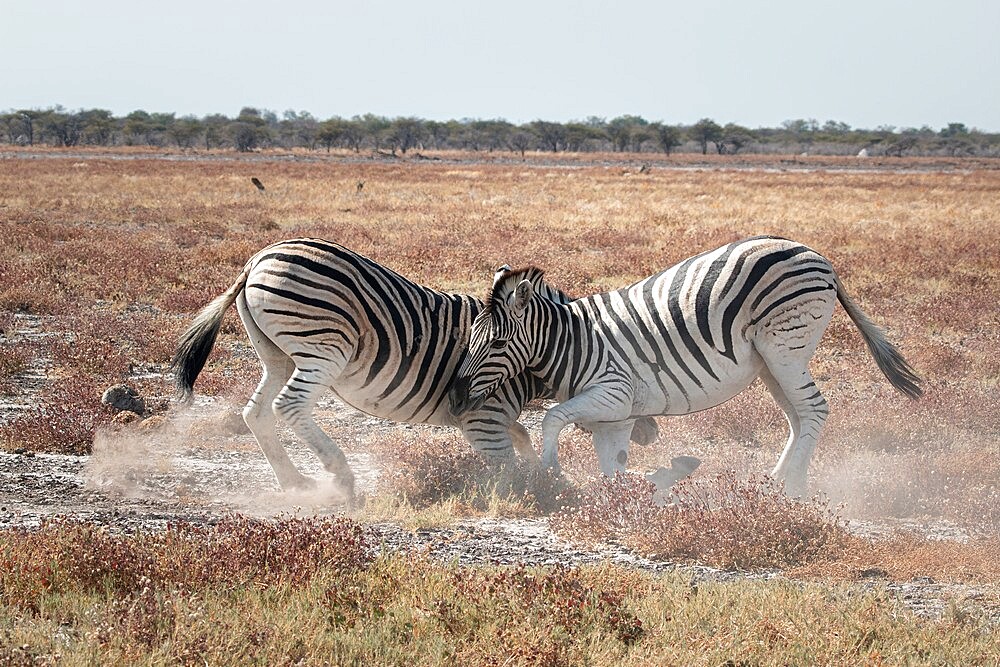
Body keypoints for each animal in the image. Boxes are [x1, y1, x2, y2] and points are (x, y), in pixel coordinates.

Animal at [172, 237, 656, 498]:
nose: (651, 433)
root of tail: (260, 257)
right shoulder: (483, 417)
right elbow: (507, 464)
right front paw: (534, 492)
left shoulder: (494, 414)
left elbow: (521, 439)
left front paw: (537, 474)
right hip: (324, 347)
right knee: (288, 406)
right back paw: (341, 477)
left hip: (276, 353)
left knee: (255, 411)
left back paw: (295, 482)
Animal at [448, 237, 920, 498]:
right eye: (468, 338)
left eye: (497, 343)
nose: (454, 398)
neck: (574, 342)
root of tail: (820, 258)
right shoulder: (617, 415)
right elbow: (613, 469)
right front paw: (652, 483)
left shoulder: (613, 392)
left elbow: (551, 418)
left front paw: (551, 471)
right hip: (772, 361)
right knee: (797, 416)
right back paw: (774, 481)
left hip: (785, 347)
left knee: (814, 410)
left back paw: (793, 488)